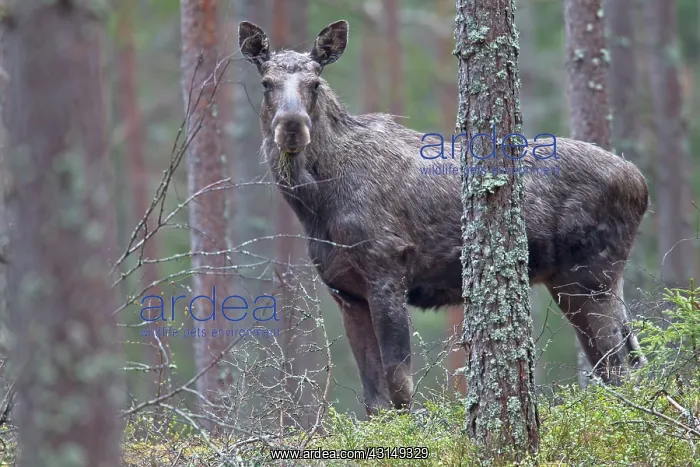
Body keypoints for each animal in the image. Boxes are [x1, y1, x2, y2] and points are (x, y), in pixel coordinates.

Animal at [238, 19, 649, 416]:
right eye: (266, 82)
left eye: (315, 82)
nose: (292, 125)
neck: (316, 204)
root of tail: (641, 183)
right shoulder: (346, 292)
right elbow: (374, 400)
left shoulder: (387, 269)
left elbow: (400, 387)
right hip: (577, 282)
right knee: (627, 361)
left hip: (591, 276)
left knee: (620, 370)